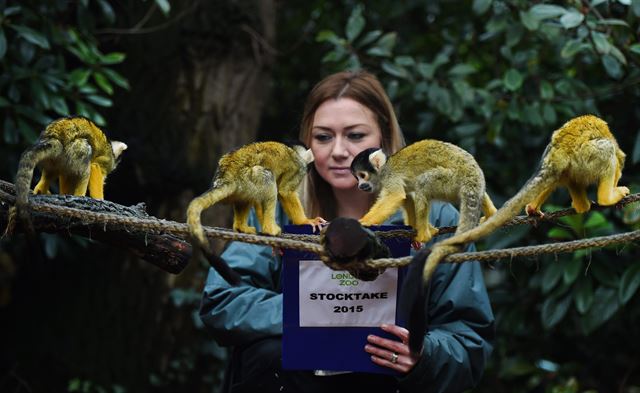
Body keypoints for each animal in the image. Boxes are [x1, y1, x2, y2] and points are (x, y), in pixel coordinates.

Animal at [185, 141, 324, 284]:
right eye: (309, 167)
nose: (309, 171)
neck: (295, 152)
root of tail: (225, 174)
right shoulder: (298, 168)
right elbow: (285, 191)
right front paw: (305, 221)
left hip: (242, 186)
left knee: (248, 197)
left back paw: (242, 228)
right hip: (246, 177)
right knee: (267, 177)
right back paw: (270, 230)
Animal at [352, 139, 498, 243]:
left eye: (363, 175)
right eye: (357, 178)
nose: (360, 185)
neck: (384, 168)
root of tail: (471, 171)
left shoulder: (390, 176)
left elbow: (395, 195)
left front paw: (364, 222)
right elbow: (407, 198)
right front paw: (413, 227)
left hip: (451, 180)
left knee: (423, 183)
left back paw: (424, 234)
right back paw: (491, 214)